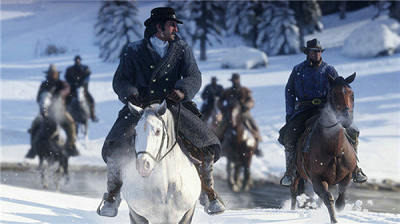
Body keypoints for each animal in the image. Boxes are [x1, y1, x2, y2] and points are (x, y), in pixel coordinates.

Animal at [290, 73, 358, 222]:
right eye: (334, 94)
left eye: (352, 94)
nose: (346, 119)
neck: (335, 150)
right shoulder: (317, 180)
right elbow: (328, 198)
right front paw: (334, 219)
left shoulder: (347, 176)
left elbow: (340, 201)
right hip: (297, 172)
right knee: (293, 189)